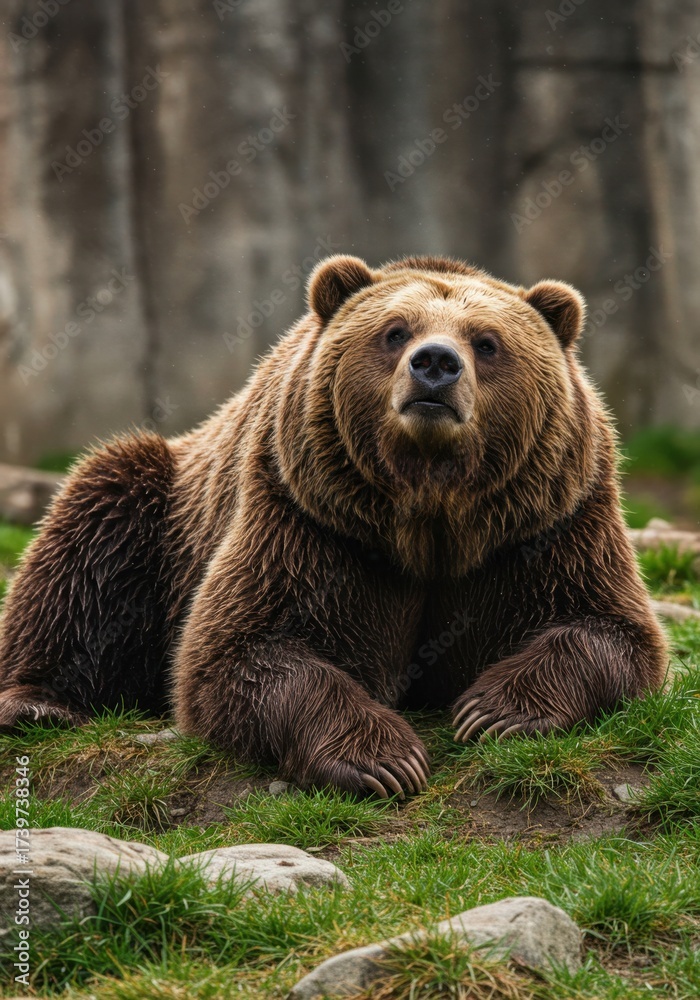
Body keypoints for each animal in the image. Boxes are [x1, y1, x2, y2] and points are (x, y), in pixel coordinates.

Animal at [0, 254, 667, 798]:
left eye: (486, 341)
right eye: (395, 331)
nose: (435, 364)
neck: (430, 513)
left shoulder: (547, 523)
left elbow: (610, 631)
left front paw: (493, 711)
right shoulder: (311, 518)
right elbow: (240, 651)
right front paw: (383, 760)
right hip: (164, 507)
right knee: (87, 533)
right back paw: (37, 704)